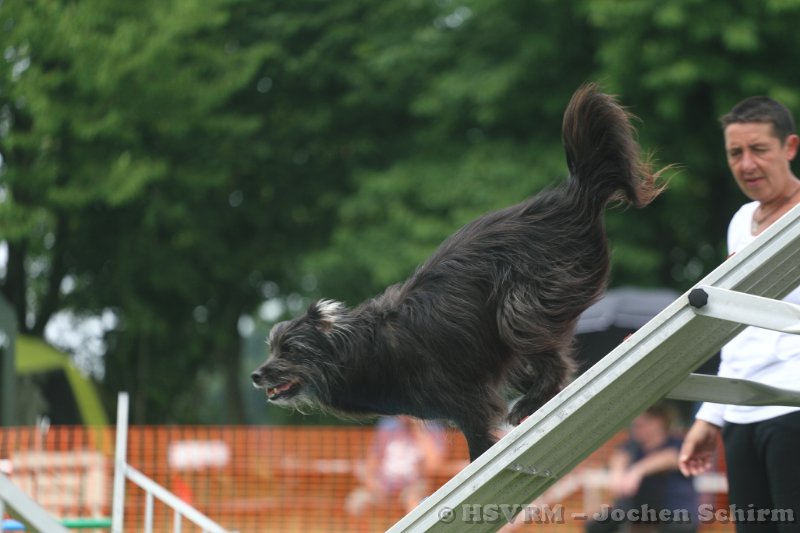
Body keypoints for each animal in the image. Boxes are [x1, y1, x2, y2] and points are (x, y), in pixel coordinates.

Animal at [251, 83, 665, 461]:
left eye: (291, 350)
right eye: (272, 347)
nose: (256, 375)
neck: (355, 347)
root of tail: (572, 197)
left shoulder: (464, 398)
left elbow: (477, 436)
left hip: (520, 306)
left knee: (551, 356)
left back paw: (528, 403)